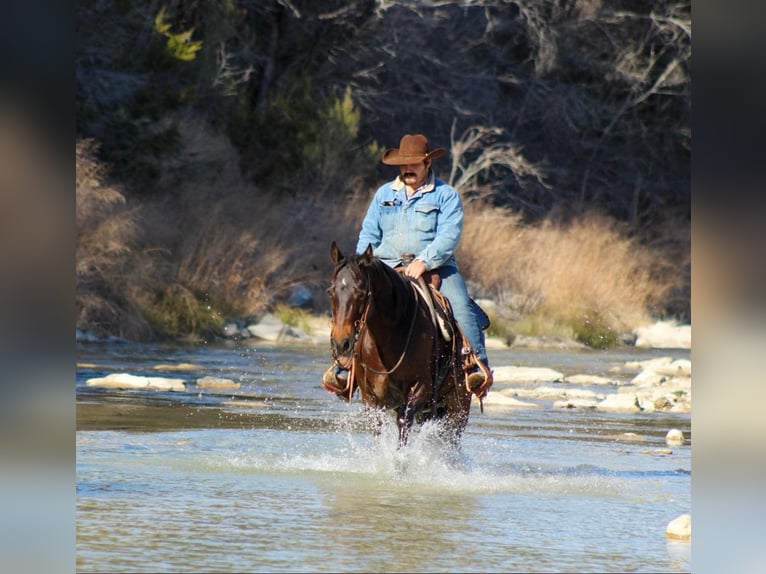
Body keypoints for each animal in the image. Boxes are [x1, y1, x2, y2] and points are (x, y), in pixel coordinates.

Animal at [323, 241, 473, 447]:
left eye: (361, 293)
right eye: (331, 291)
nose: (341, 343)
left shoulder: (420, 389)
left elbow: (403, 423)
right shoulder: (371, 397)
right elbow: (377, 428)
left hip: (458, 410)